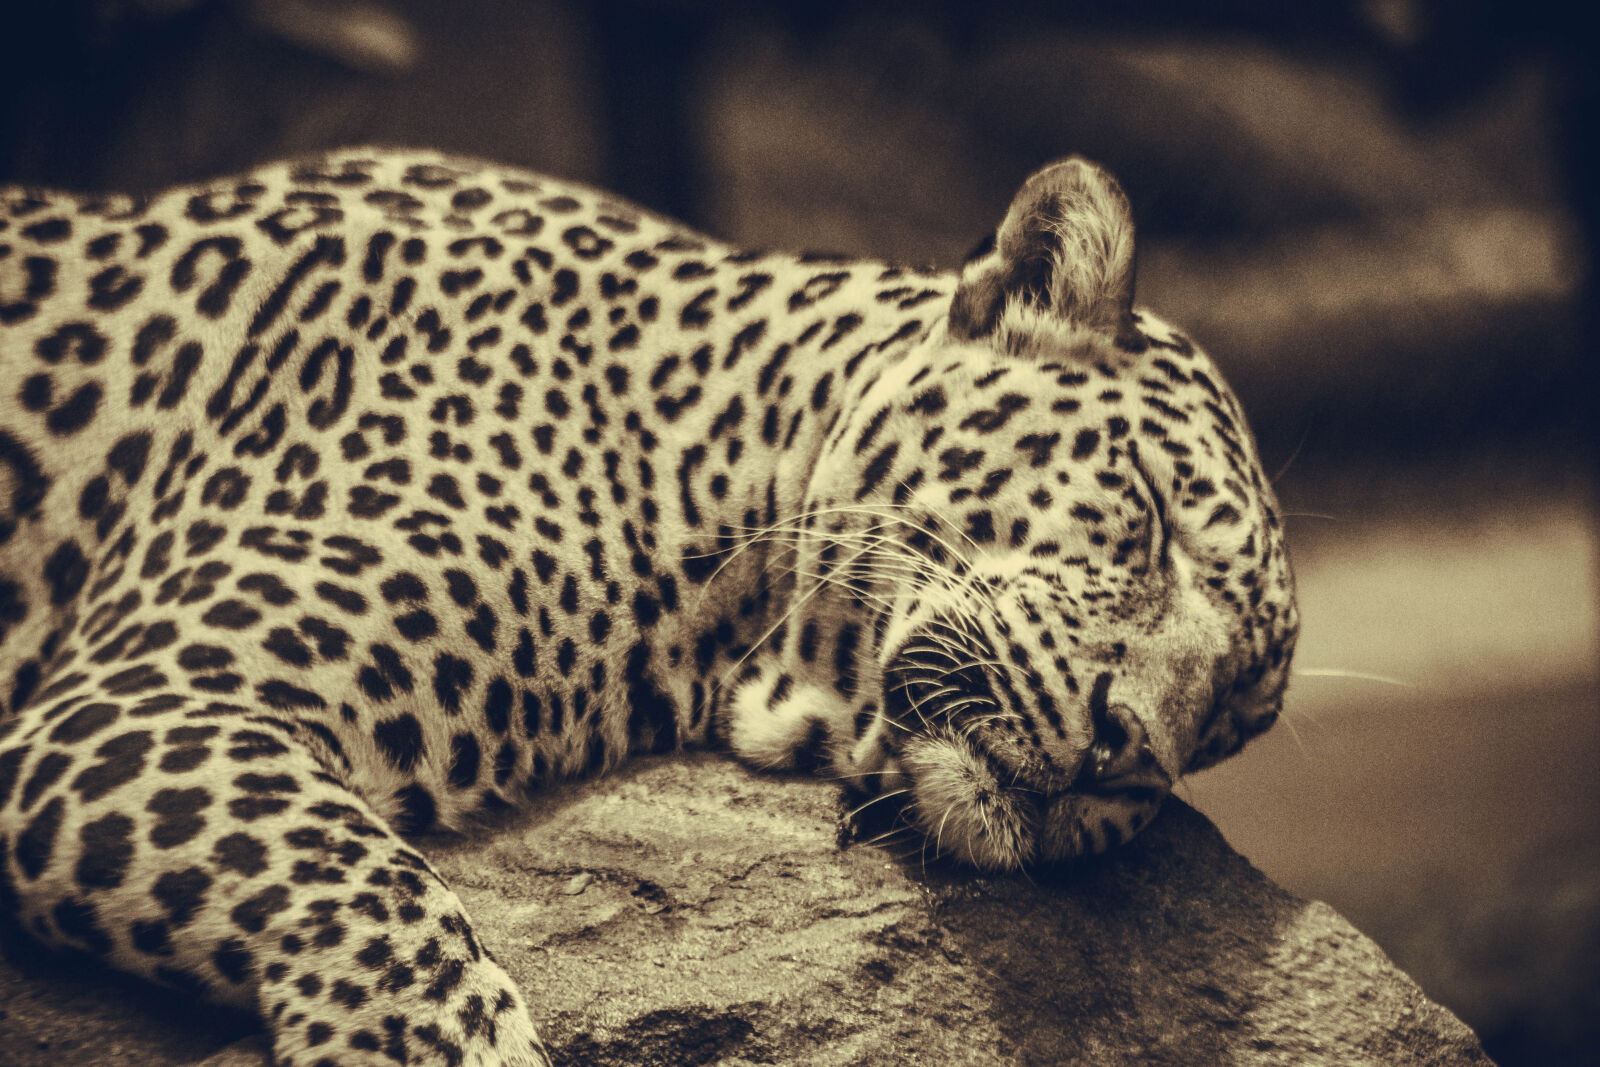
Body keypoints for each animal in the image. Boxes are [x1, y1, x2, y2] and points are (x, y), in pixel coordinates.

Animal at [0, 148, 1297, 1066]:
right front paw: (440, 1040)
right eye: (1149, 512)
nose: (1126, 752)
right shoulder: (141, 698)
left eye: (1225, 723)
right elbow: (349, 869)